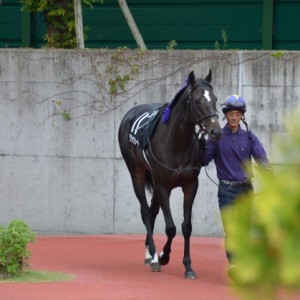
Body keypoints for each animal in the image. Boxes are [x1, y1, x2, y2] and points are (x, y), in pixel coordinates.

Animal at [118, 70, 221, 278]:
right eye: (197, 100)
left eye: (215, 99)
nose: (215, 131)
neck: (176, 142)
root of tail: (130, 113)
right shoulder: (163, 186)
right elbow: (171, 227)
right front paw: (163, 256)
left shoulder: (190, 185)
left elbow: (186, 226)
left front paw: (188, 266)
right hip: (137, 173)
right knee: (145, 212)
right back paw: (154, 256)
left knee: (152, 211)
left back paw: (149, 254)